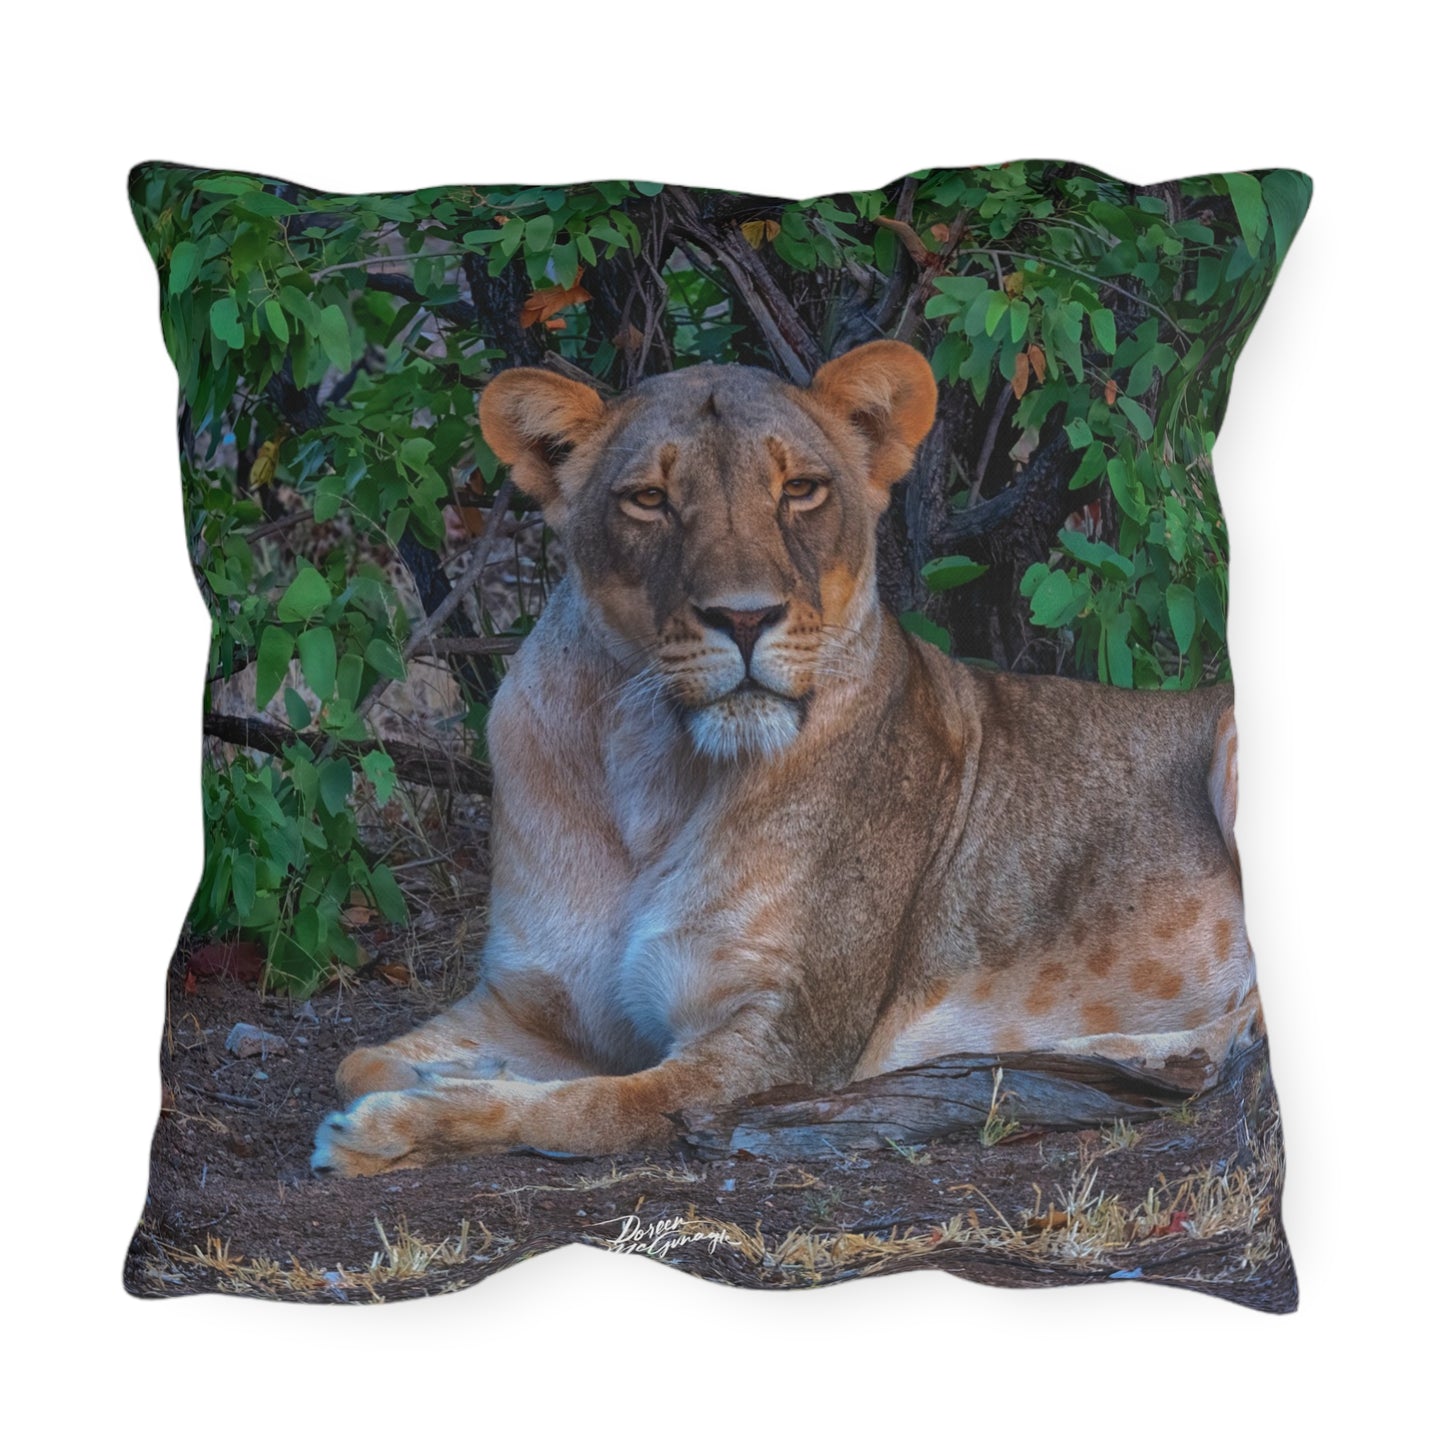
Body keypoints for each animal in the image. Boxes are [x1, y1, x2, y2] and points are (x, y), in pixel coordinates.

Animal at [311, 340, 1259, 1176]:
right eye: (648, 499)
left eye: (799, 489)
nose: (742, 616)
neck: (650, 769)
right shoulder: (531, 999)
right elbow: (358, 1058)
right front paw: (429, 1078)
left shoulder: (779, 1039)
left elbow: (596, 1106)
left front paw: (395, 1129)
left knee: (1247, 1033)